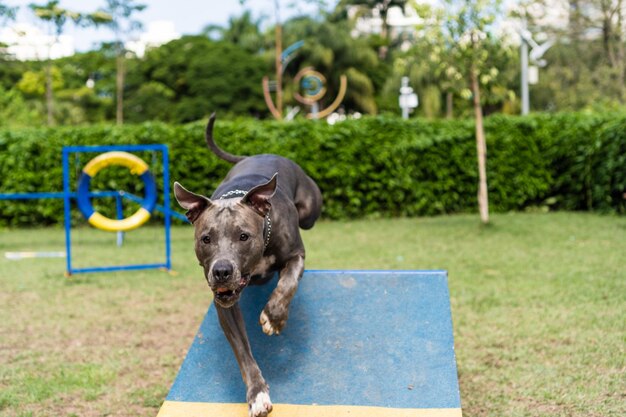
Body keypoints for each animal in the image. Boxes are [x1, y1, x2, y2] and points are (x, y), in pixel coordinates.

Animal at [173, 114, 324, 416]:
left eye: (243, 236)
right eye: (206, 238)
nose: (221, 271)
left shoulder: (296, 255)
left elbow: (287, 284)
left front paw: (274, 317)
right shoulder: (224, 304)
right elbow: (243, 351)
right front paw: (257, 394)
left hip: (310, 211)